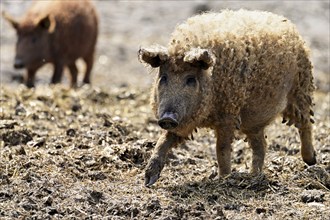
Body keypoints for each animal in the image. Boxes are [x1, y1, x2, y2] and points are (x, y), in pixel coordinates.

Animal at [138, 9, 316, 186]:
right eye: (163, 78)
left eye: (190, 79)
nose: (167, 118)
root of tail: (288, 26)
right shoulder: (184, 120)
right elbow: (164, 139)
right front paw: (148, 180)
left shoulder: (229, 114)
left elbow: (222, 148)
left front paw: (223, 178)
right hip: (254, 121)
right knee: (260, 145)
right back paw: (254, 176)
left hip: (301, 89)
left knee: (305, 124)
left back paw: (311, 161)